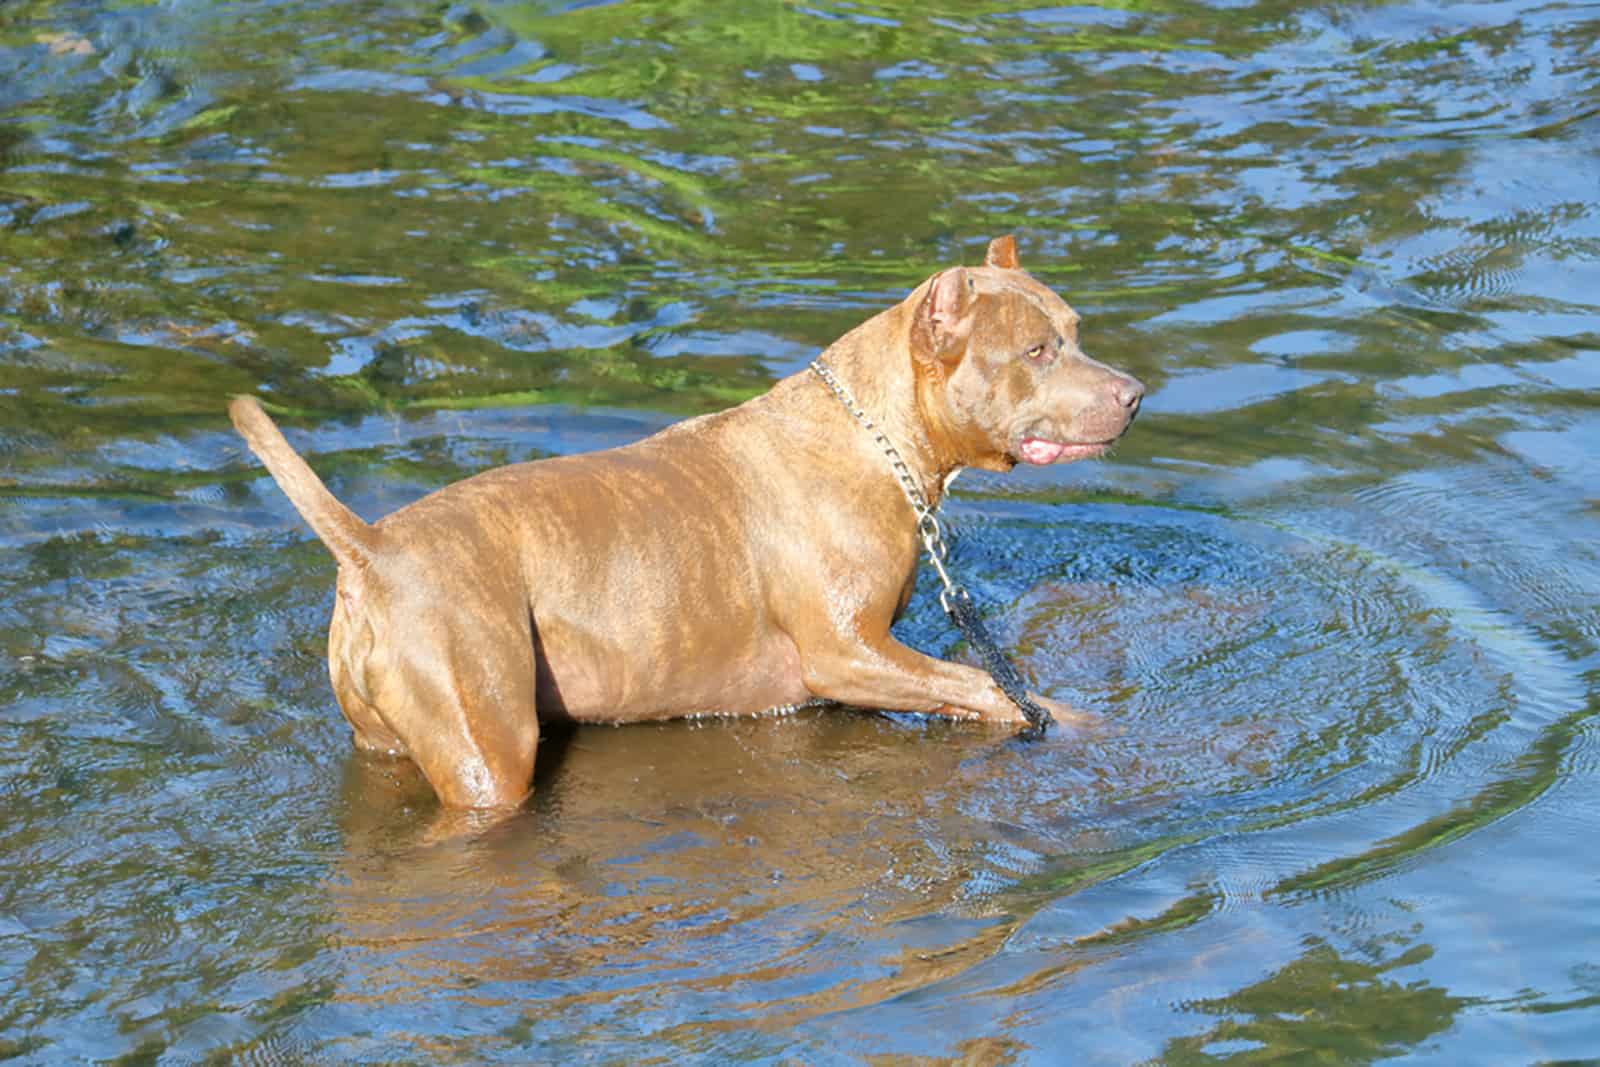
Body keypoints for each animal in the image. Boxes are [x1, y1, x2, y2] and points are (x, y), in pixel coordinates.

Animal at [232, 235, 1145, 809]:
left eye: (1074, 333)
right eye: (1035, 352)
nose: (1135, 393)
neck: (874, 435)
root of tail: (374, 549)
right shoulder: (849, 653)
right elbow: (992, 686)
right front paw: (1071, 721)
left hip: (386, 742)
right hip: (486, 749)